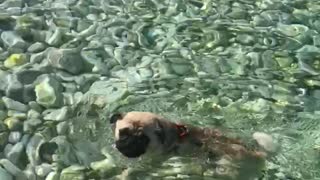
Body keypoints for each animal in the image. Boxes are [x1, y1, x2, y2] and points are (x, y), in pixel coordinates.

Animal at [110, 111, 278, 179]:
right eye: (123, 133)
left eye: (143, 139)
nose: (127, 143)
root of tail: (256, 153)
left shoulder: (155, 162)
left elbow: (133, 170)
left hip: (225, 164)